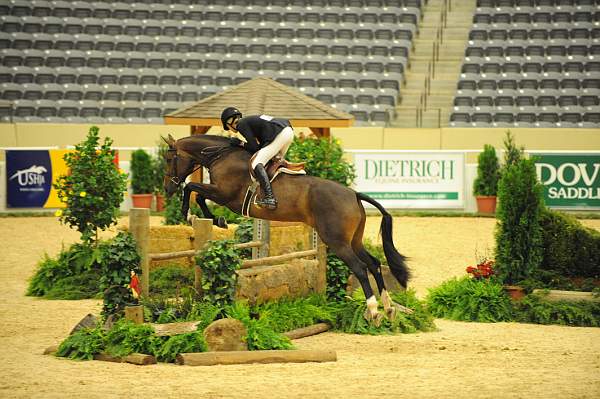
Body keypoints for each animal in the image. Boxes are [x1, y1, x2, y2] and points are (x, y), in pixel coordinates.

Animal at [161, 134, 412, 324]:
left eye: (168, 158)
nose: (167, 188)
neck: (221, 155)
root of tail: (354, 194)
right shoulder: (221, 194)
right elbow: (197, 193)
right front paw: (216, 220)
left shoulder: (224, 194)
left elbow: (193, 189)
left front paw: (192, 214)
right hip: (354, 240)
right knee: (374, 264)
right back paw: (389, 308)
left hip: (337, 242)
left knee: (360, 268)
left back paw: (373, 310)